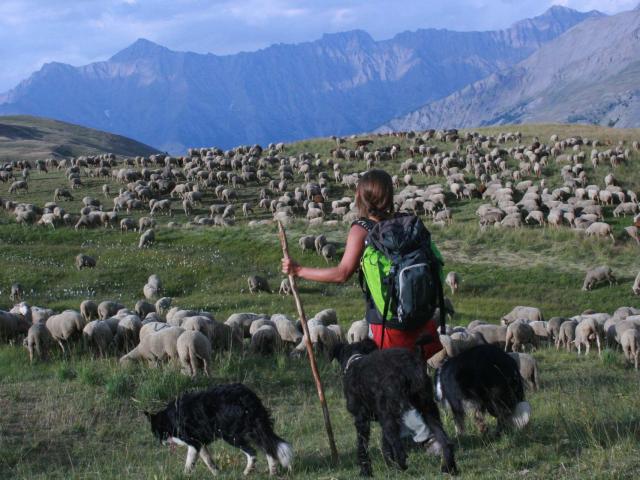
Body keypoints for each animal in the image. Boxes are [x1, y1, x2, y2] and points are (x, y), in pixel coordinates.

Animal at [145, 384, 292, 474]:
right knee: (269, 448)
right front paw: (217, 473)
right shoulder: (199, 443)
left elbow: (189, 462)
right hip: (255, 428)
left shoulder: (194, 442)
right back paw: (272, 472)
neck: (170, 419)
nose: (161, 443)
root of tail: (246, 396)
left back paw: (247, 472)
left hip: (231, 435)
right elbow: (208, 460)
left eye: (156, 433)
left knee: (253, 452)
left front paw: (185, 474)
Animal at [332, 340, 458, 478]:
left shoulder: (361, 419)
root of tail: (412, 362)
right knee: (445, 441)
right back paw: (449, 468)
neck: (354, 359)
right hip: (427, 407)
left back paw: (400, 469)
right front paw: (389, 465)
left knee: (400, 450)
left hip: (389, 414)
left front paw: (366, 471)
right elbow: (385, 445)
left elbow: (362, 446)